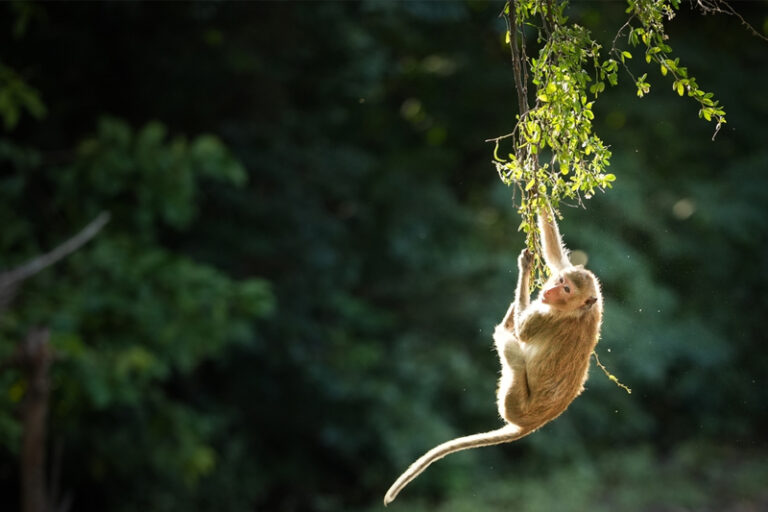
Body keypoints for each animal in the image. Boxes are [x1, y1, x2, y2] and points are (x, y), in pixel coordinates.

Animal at [382, 206, 600, 506]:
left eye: (566, 290)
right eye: (561, 280)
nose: (550, 290)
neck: (579, 309)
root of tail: (530, 425)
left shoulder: (546, 317)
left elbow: (524, 332)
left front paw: (524, 274)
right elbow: (554, 251)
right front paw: (539, 195)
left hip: (512, 401)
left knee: (510, 348)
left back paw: (506, 326)